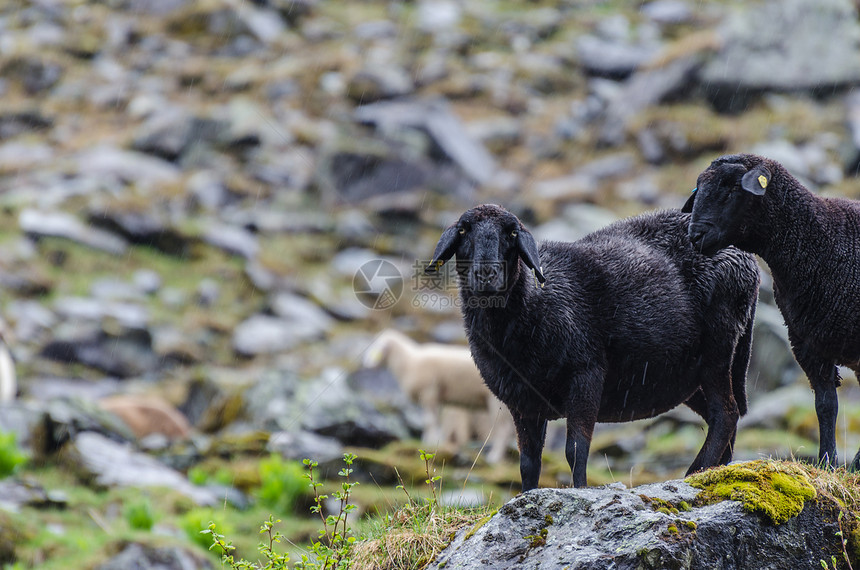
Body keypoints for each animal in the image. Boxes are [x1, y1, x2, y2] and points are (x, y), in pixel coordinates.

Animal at [426, 204, 756, 488]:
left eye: (511, 233)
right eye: (463, 230)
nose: (486, 273)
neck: (533, 306)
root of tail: (744, 254)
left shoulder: (586, 375)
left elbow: (575, 449)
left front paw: (580, 490)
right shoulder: (522, 400)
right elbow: (528, 462)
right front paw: (527, 497)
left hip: (718, 347)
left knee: (725, 414)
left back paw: (697, 472)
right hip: (686, 376)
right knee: (724, 414)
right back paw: (715, 470)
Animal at [684, 152, 860, 466]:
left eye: (732, 188)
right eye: (699, 188)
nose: (695, 235)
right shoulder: (805, 343)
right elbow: (825, 405)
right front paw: (827, 461)